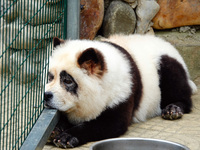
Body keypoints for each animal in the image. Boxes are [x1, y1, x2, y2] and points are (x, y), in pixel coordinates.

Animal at [44, 34, 197, 148]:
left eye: (68, 81)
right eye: (50, 77)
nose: (46, 96)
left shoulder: (123, 91)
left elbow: (112, 123)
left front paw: (66, 137)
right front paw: (55, 130)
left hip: (164, 64)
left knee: (174, 82)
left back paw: (173, 109)